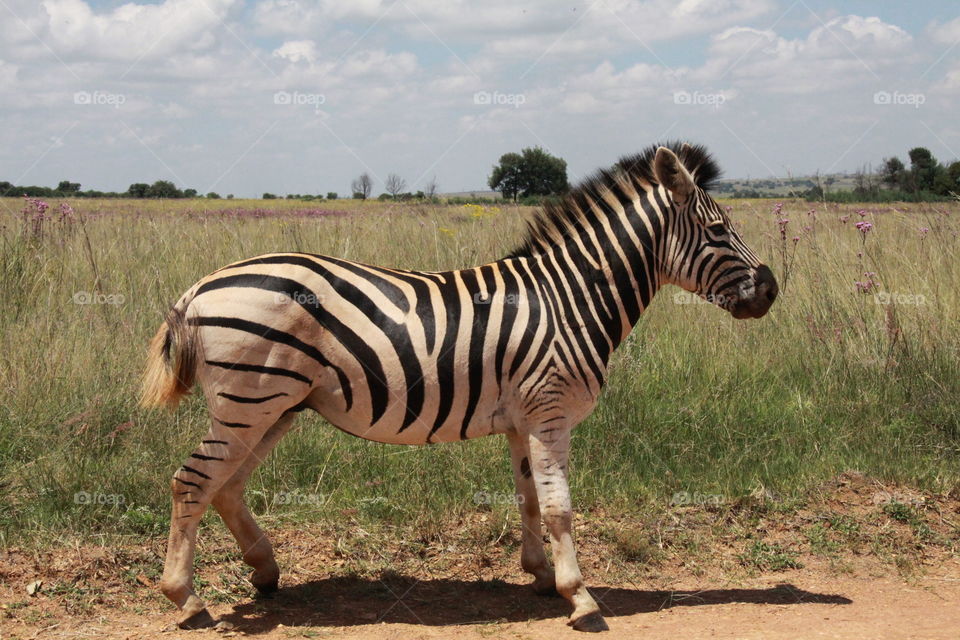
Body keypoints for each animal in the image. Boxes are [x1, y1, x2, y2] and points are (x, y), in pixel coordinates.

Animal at [141, 142, 777, 632]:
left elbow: (527, 497)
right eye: (719, 231)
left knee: (225, 485)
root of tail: (200, 287)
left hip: (277, 404)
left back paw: (265, 571)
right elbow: (560, 508)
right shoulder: (550, 413)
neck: (570, 299)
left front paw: (539, 575)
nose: (772, 290)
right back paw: (187, 599)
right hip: (250, 401)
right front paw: (580, 597)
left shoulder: (524, 418)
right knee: (192, 482)